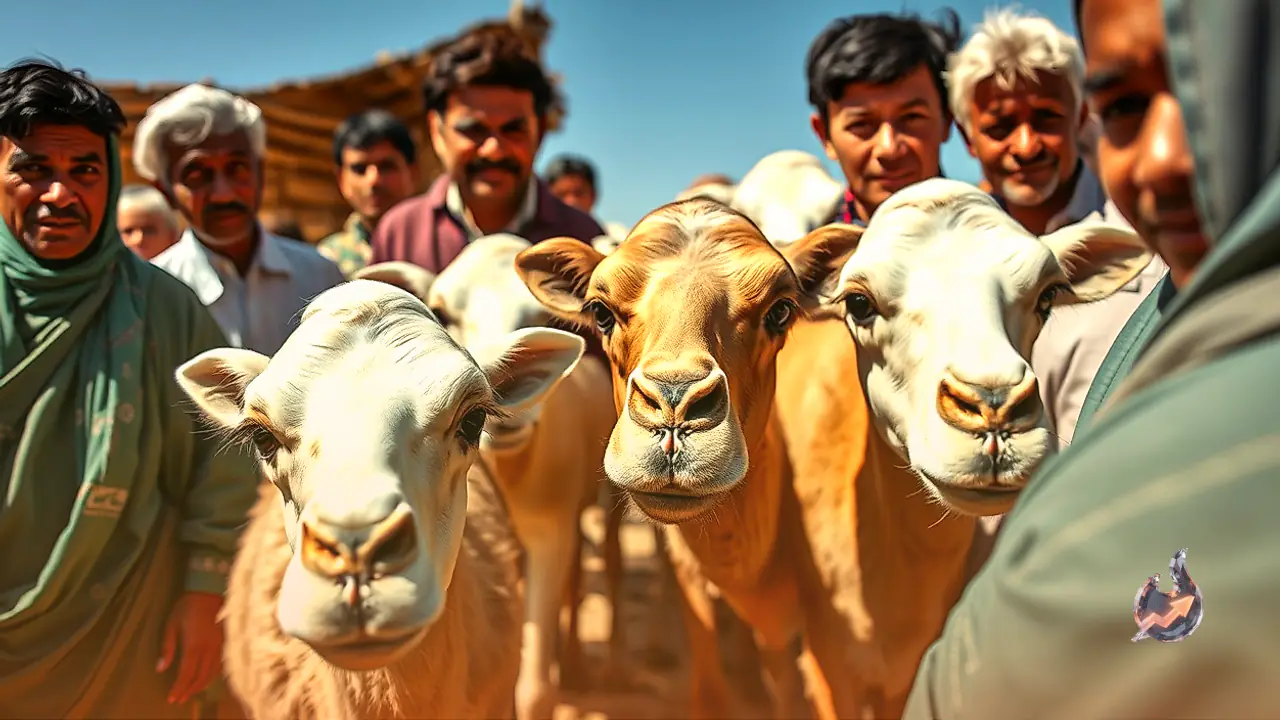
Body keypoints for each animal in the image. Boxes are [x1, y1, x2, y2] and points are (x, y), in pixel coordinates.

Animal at [354, 235, 621, 720]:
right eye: (441, 313)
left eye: (545, 316)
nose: (501, 400)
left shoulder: (548, 533)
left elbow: (534, 690)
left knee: (606, 560)